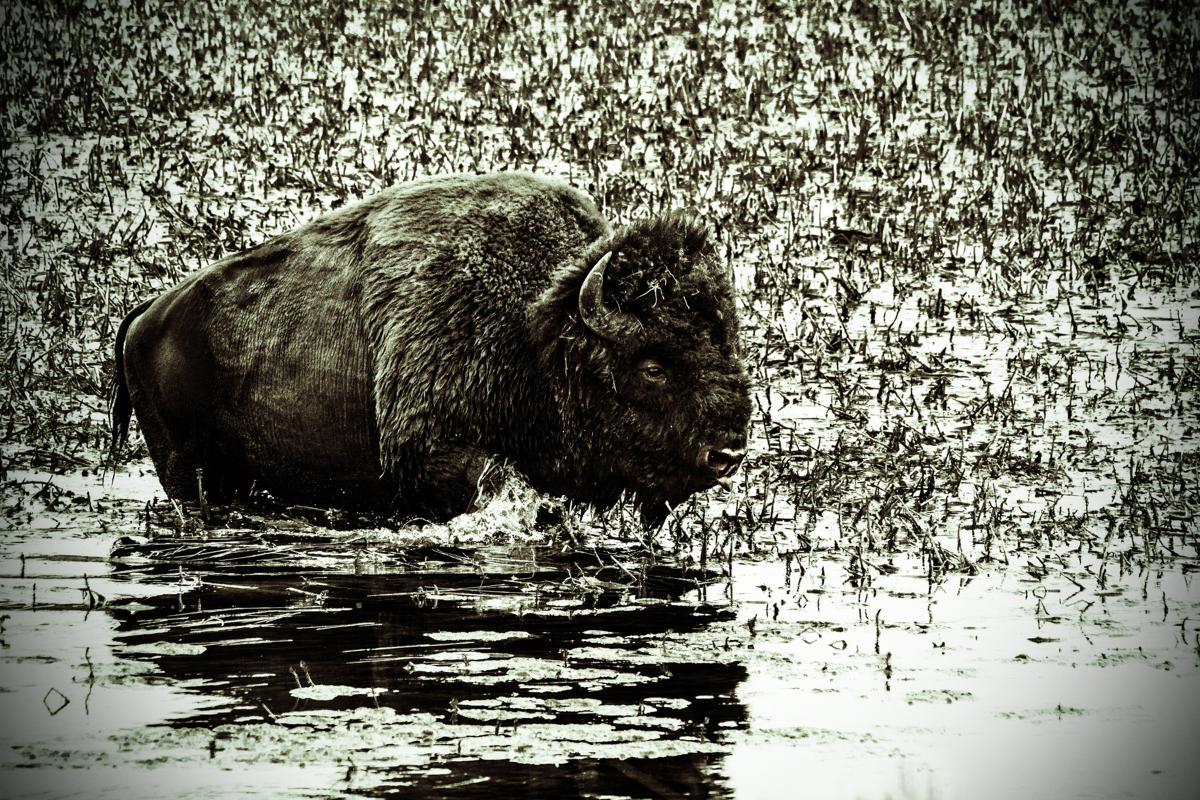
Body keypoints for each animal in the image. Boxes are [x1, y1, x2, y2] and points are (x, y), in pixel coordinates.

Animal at [111, 172, 751, 525]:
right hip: (187, 470)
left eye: (726, 344)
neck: (532, 327)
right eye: (653, 367)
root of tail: (144, 318)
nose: (729, 452)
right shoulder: (436, 453)